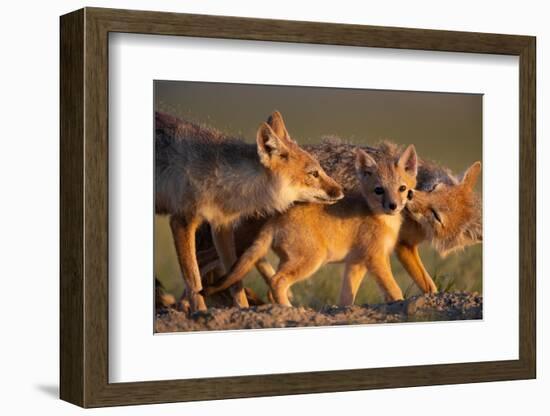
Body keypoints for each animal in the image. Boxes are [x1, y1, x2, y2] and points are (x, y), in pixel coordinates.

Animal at [156, 112, 344, 310]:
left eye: (321, 170)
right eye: (314, 174)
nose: (342, 192)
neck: (223, 180)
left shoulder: (222, 225)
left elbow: (234, 280)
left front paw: (243, 309)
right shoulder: (182, 220)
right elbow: (193, 280)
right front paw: (200, 312)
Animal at [205, 145, 420, 304]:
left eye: (402, 188)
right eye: (379, 190)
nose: (393, 206)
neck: (382, 219)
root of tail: (276, 219)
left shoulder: (356, 263)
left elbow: (346, 298)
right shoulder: (375, 259)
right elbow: (394, 289)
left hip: (290, 261)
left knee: (271, 287)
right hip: (312, 260)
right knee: (276, 281)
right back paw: (289, 310)